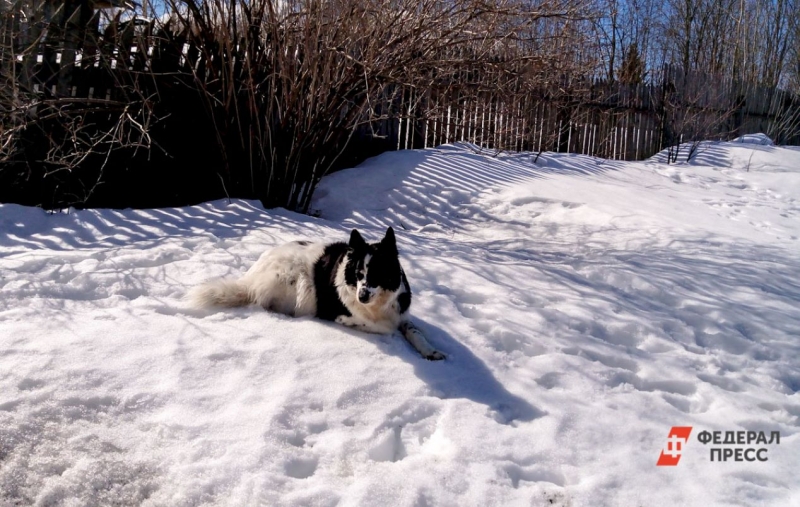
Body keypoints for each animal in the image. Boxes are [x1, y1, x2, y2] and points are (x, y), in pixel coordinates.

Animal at [191, 226, 446, 362]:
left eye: (377, 275)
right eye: (358, 274)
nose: (362, 296)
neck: (377, 304)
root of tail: (250, 276)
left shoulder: (401, 313)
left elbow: (415, 332)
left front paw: (431, 351)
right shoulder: (345, 314)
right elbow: (381, 327)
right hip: (294, 281)